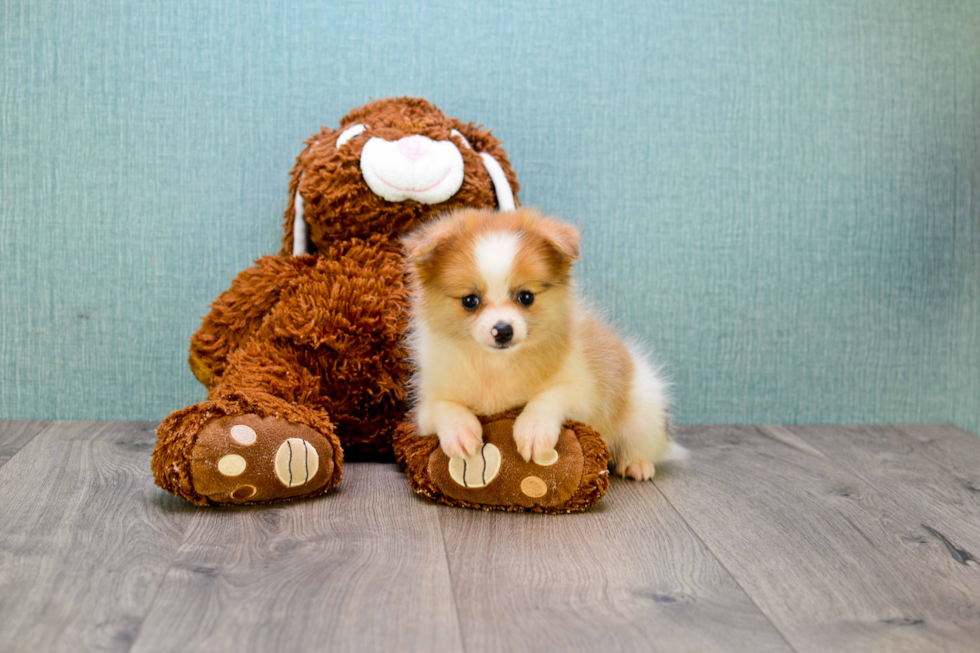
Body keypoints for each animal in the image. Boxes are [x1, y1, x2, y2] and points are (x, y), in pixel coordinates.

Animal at [402, 208, 684, 478]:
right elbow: (444, 407)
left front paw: (534, 429)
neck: (496, 364)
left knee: (643, 443)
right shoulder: (425, 406)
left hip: (643, 407)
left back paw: (637, 465)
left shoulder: (585, 390)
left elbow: (550, 395)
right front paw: (460, 432)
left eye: (526, 297)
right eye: (470, 300)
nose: (502, 330)